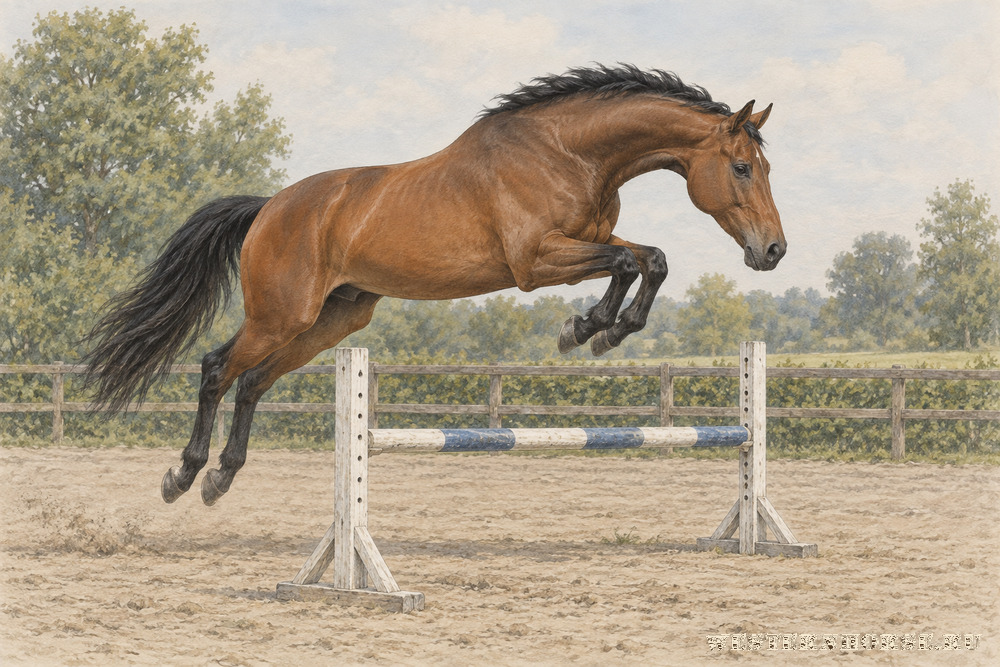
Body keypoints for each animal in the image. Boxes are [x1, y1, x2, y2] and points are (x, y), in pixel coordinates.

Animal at [82, 64, 786, 506]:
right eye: (742, 168)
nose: (773, 251)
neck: (568, 152)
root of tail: (269, 208)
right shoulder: (535, 262)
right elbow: (633, 261)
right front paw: (587, 329)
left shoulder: (585, 240)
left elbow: (647, 259)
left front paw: (598, 329)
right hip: (280, 315)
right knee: (215, 368)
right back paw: (183, 475)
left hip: (334, 320)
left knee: (252, 381)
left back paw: (221, 479)